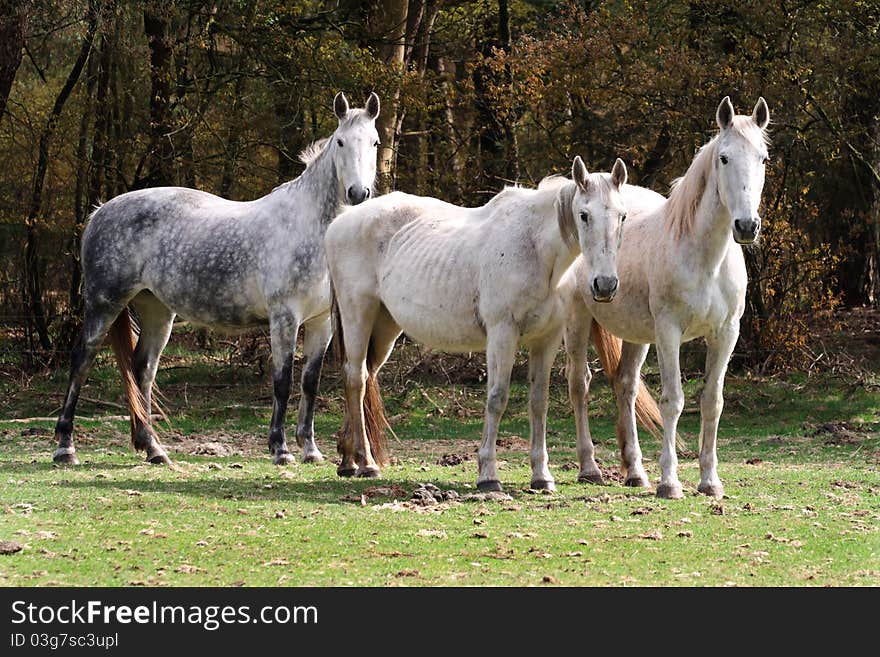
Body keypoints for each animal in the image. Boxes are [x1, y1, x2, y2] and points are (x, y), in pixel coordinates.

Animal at [52, 91, 382, 466]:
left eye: (374, 142)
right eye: (340, 141)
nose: (358, 193)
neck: (307, 225)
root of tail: (99, 212)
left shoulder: (320, 322)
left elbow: (309, 383)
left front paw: (310, 449)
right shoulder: (284, 318)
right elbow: (282, 381)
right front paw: (280, 448)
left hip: (156, 310)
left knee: (143, 370)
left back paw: (154, 449)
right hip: (104, 303)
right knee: (82, 360)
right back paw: (66, 447)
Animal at [326, 156, 664, 490]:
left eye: (623, 216)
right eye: (584, 215)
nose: (605, 285)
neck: (536, 251)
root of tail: (343, 220)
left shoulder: (547, 339)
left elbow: (538, 401)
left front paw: (542, 476)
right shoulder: (503, 334)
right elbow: (497, 397)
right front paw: (488, 475)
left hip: (385, 326)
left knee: (367, 375)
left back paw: (349, 460)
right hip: (358, 315)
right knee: (356, 378)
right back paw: (365, 462)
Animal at [564, 97, 768, 498]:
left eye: (763, 158)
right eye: (724, 158)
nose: (747, 226)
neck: (704, 258)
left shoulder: (725, 334)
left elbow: (712, 402)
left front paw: (710, 481)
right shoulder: (670, 332)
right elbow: (672, 401)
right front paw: (670, 483)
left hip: (637, 336)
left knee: (625, 385)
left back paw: (635, 472)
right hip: (578, 322)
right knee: (580, 385)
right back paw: (590, 468)